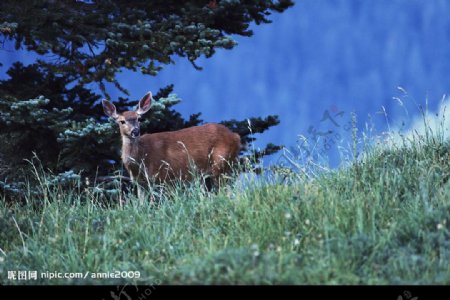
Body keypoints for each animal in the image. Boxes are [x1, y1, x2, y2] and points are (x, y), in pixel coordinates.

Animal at [102, 91, 243, 199]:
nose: (135, 131)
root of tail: (236, 136)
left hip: (220, 163)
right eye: (122, 121)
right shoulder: (140, 182)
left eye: (138, 119)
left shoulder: (164, 176)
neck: (140, 159)